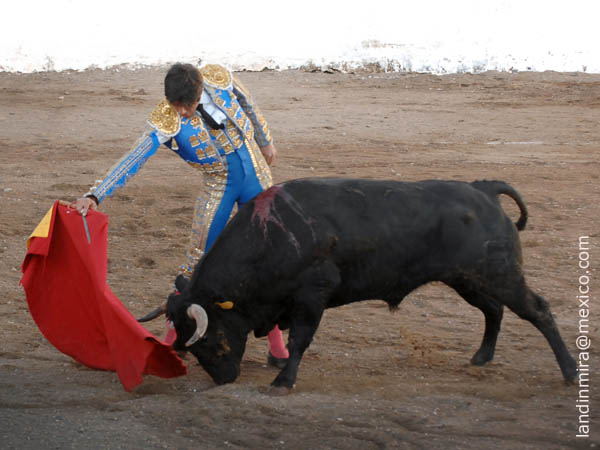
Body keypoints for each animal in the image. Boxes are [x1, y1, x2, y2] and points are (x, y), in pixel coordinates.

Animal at [145, 178, 576, 388]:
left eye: (208, 340)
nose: (223, 380)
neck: (271, 236)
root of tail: (483, 189)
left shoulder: (312, 294)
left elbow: (300, 340)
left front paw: (284, 380)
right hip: (469, 280)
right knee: (494, 311)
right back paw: (482, 357)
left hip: (498, 275)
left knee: (537, 310)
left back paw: (570, 371)